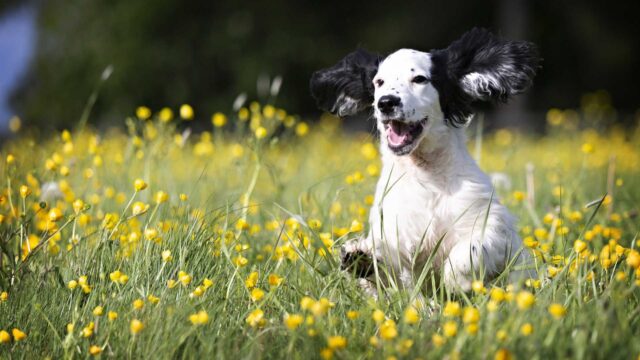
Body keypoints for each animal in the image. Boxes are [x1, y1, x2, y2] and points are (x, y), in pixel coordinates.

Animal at [310, 27, 540, 292]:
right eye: (379, 82)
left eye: (419, 79)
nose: (386, 102)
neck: (426, 175)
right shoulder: (395, 233)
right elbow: (388, 267)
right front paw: (361, 258)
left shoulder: (492, 225)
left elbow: (470, 249)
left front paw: (458, 280)